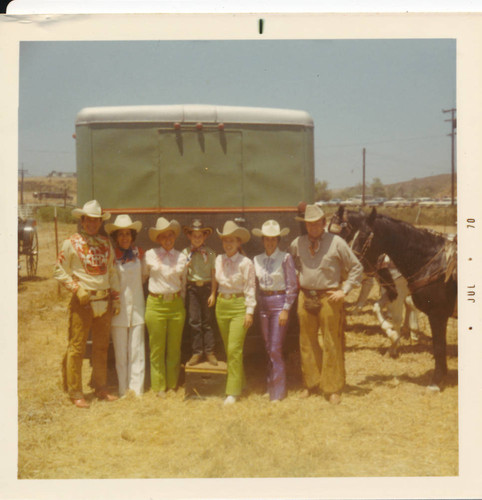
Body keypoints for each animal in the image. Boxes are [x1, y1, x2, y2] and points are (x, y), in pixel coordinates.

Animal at [348, 207, 458, 390]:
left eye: (363, 236)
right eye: (352, 235)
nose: (353, 264)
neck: (433, 264)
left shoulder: (435, 313)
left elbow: (438, 346)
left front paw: (436, 381)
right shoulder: (391, 291)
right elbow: (379, 309)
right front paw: (394, 337)